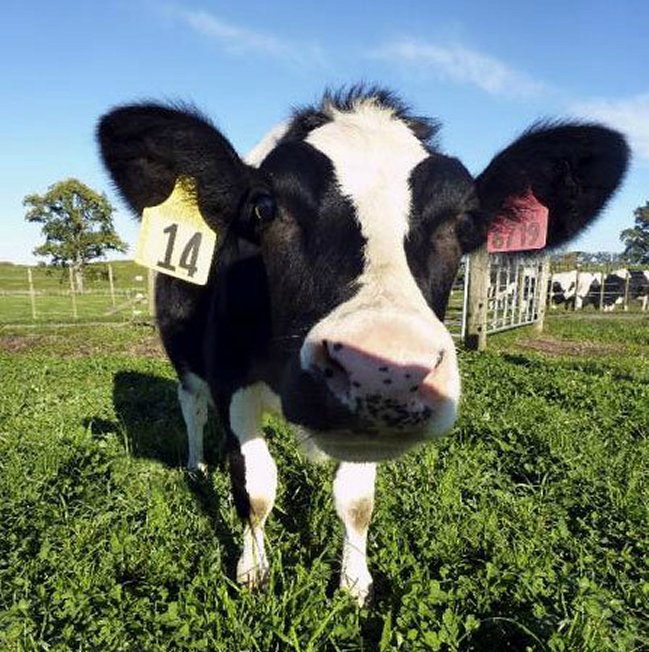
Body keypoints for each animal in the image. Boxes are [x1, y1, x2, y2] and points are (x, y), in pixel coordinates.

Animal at [98, 87, 629, 605]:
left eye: (465, 224)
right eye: (264, 208)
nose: (384, 370)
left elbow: (356, 501)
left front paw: (355, 583)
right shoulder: (232, 380)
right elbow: (256, 487)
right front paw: (253, 572)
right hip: (184, 356)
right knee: (191, 406)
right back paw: (196, 466)